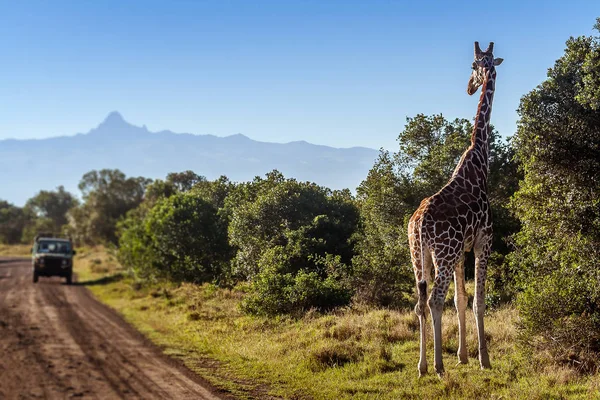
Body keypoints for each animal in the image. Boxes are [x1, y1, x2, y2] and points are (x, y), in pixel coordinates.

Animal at [408, 42, 502, 376]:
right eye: (474, 66)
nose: (470, 87)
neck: (479, 161)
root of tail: (419, 224)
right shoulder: (484, 240)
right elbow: (478, 301)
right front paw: (484, 359)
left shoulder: (462, 251)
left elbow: (461, 300)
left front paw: (462, 355)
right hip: (443, 254)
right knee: (435, 299)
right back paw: (438, 365)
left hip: (419, 255)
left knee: (420, 302)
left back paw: (422, 365)